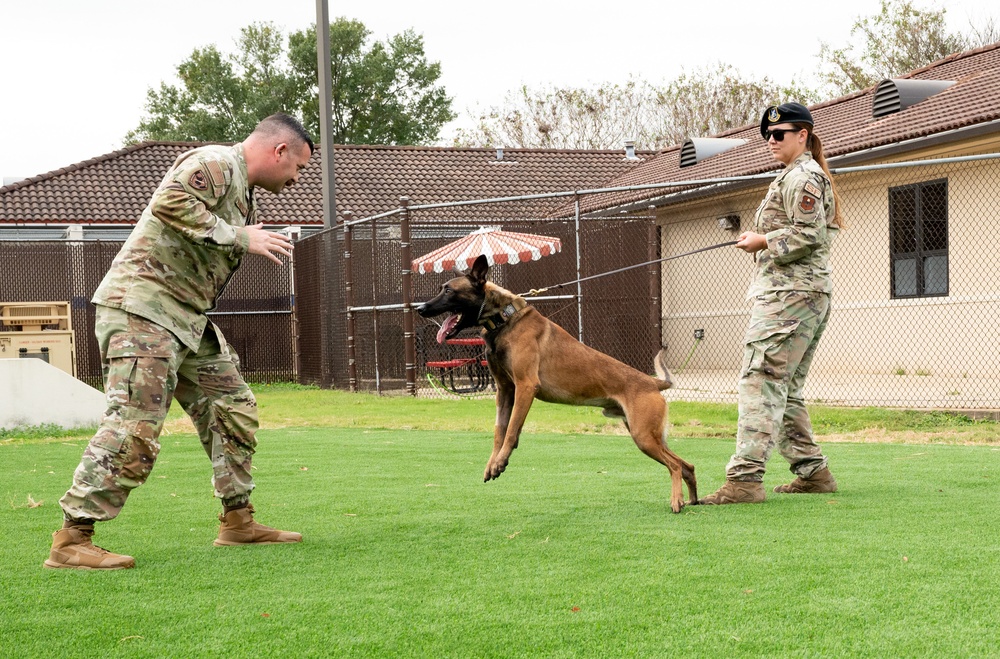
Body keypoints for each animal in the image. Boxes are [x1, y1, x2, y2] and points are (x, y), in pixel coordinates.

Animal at [414, 255, 696, 512]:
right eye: (442, 288)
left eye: (449, 290)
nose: (420, 308)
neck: (505, 318)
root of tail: (654, 383)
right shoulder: (504, 390)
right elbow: (498, 431)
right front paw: (493, 463)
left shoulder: (525, 387)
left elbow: (512, 429)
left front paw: (502, 460)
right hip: (648, 435)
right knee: (686, 465)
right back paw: (693, 499)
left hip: (643, 436)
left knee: (674, 465)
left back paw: (677, 501)